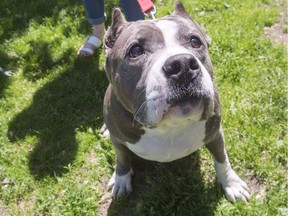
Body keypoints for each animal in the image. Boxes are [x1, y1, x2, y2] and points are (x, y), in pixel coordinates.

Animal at [103, 2, 250, 203]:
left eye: (195, 42)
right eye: (135, 51)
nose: (182, 65)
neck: (169, 127)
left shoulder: (215, 133)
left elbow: (222, 159)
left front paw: (231, 183)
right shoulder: (117, 139)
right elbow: (122, 158)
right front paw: (121, 179)